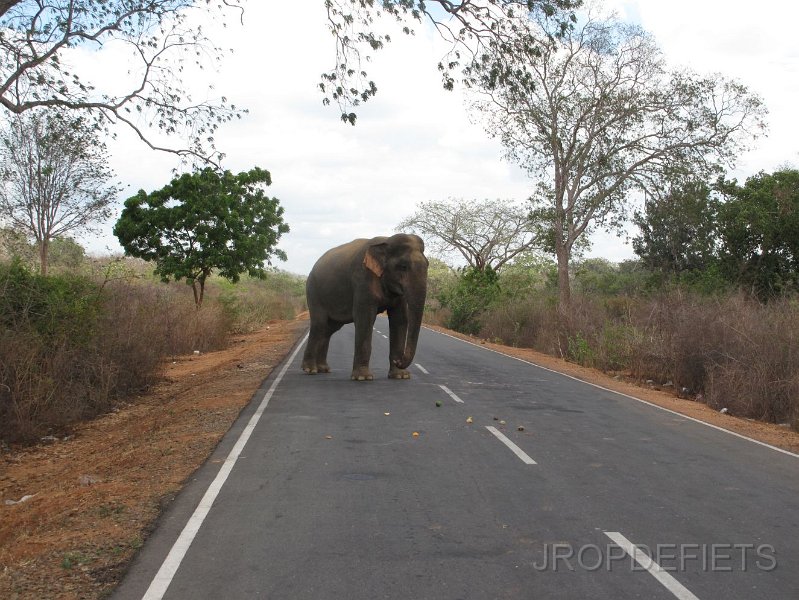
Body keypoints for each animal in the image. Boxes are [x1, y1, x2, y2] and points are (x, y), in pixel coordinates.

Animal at [300, 233, 428, 380]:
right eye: (403, 266)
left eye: (427, 265)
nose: (398, 360)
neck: (386, 241)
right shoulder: (362, 279)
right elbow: (365, 318)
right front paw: (363, 377)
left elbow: (399, 320)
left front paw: (401, 376)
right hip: (313, 292)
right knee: (319, 325)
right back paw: (310, 369)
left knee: (329, 329)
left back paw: (323, 369)